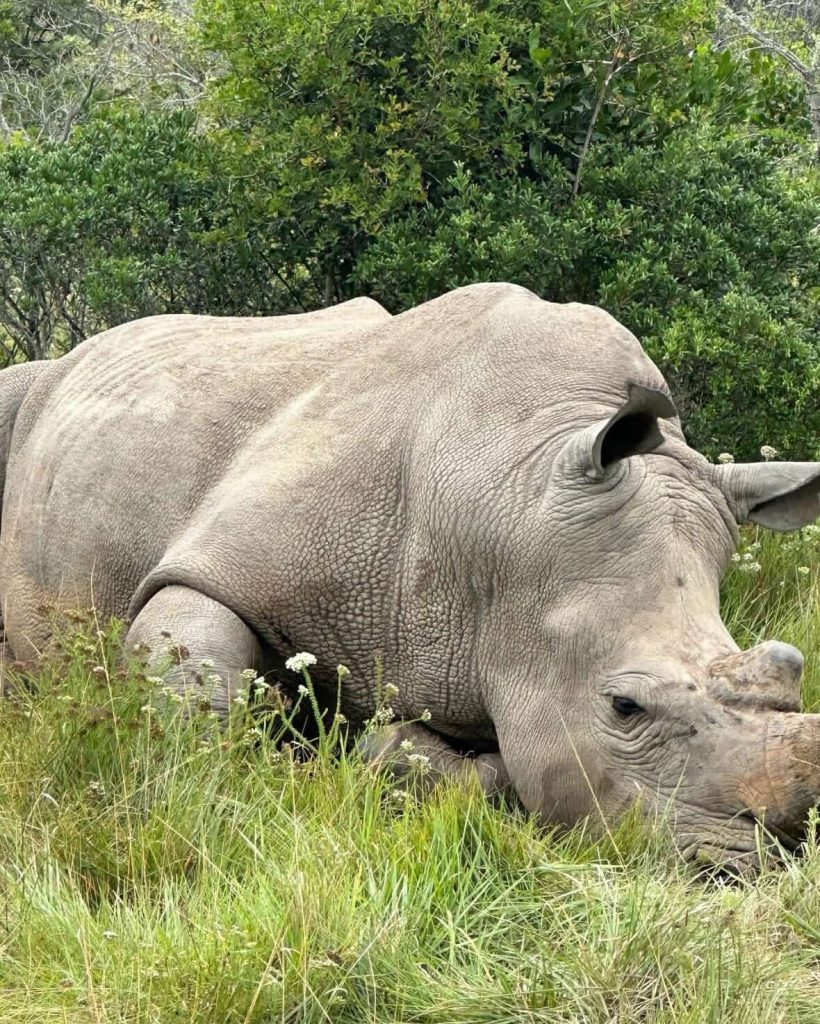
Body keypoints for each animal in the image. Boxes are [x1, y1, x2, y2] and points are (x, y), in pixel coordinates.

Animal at [0, 283, 818, 872]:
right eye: (624, 707)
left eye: (791, 666)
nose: (754, 865)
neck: (506, 505)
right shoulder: (225, 564)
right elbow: (199, 705)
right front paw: (290, 762)